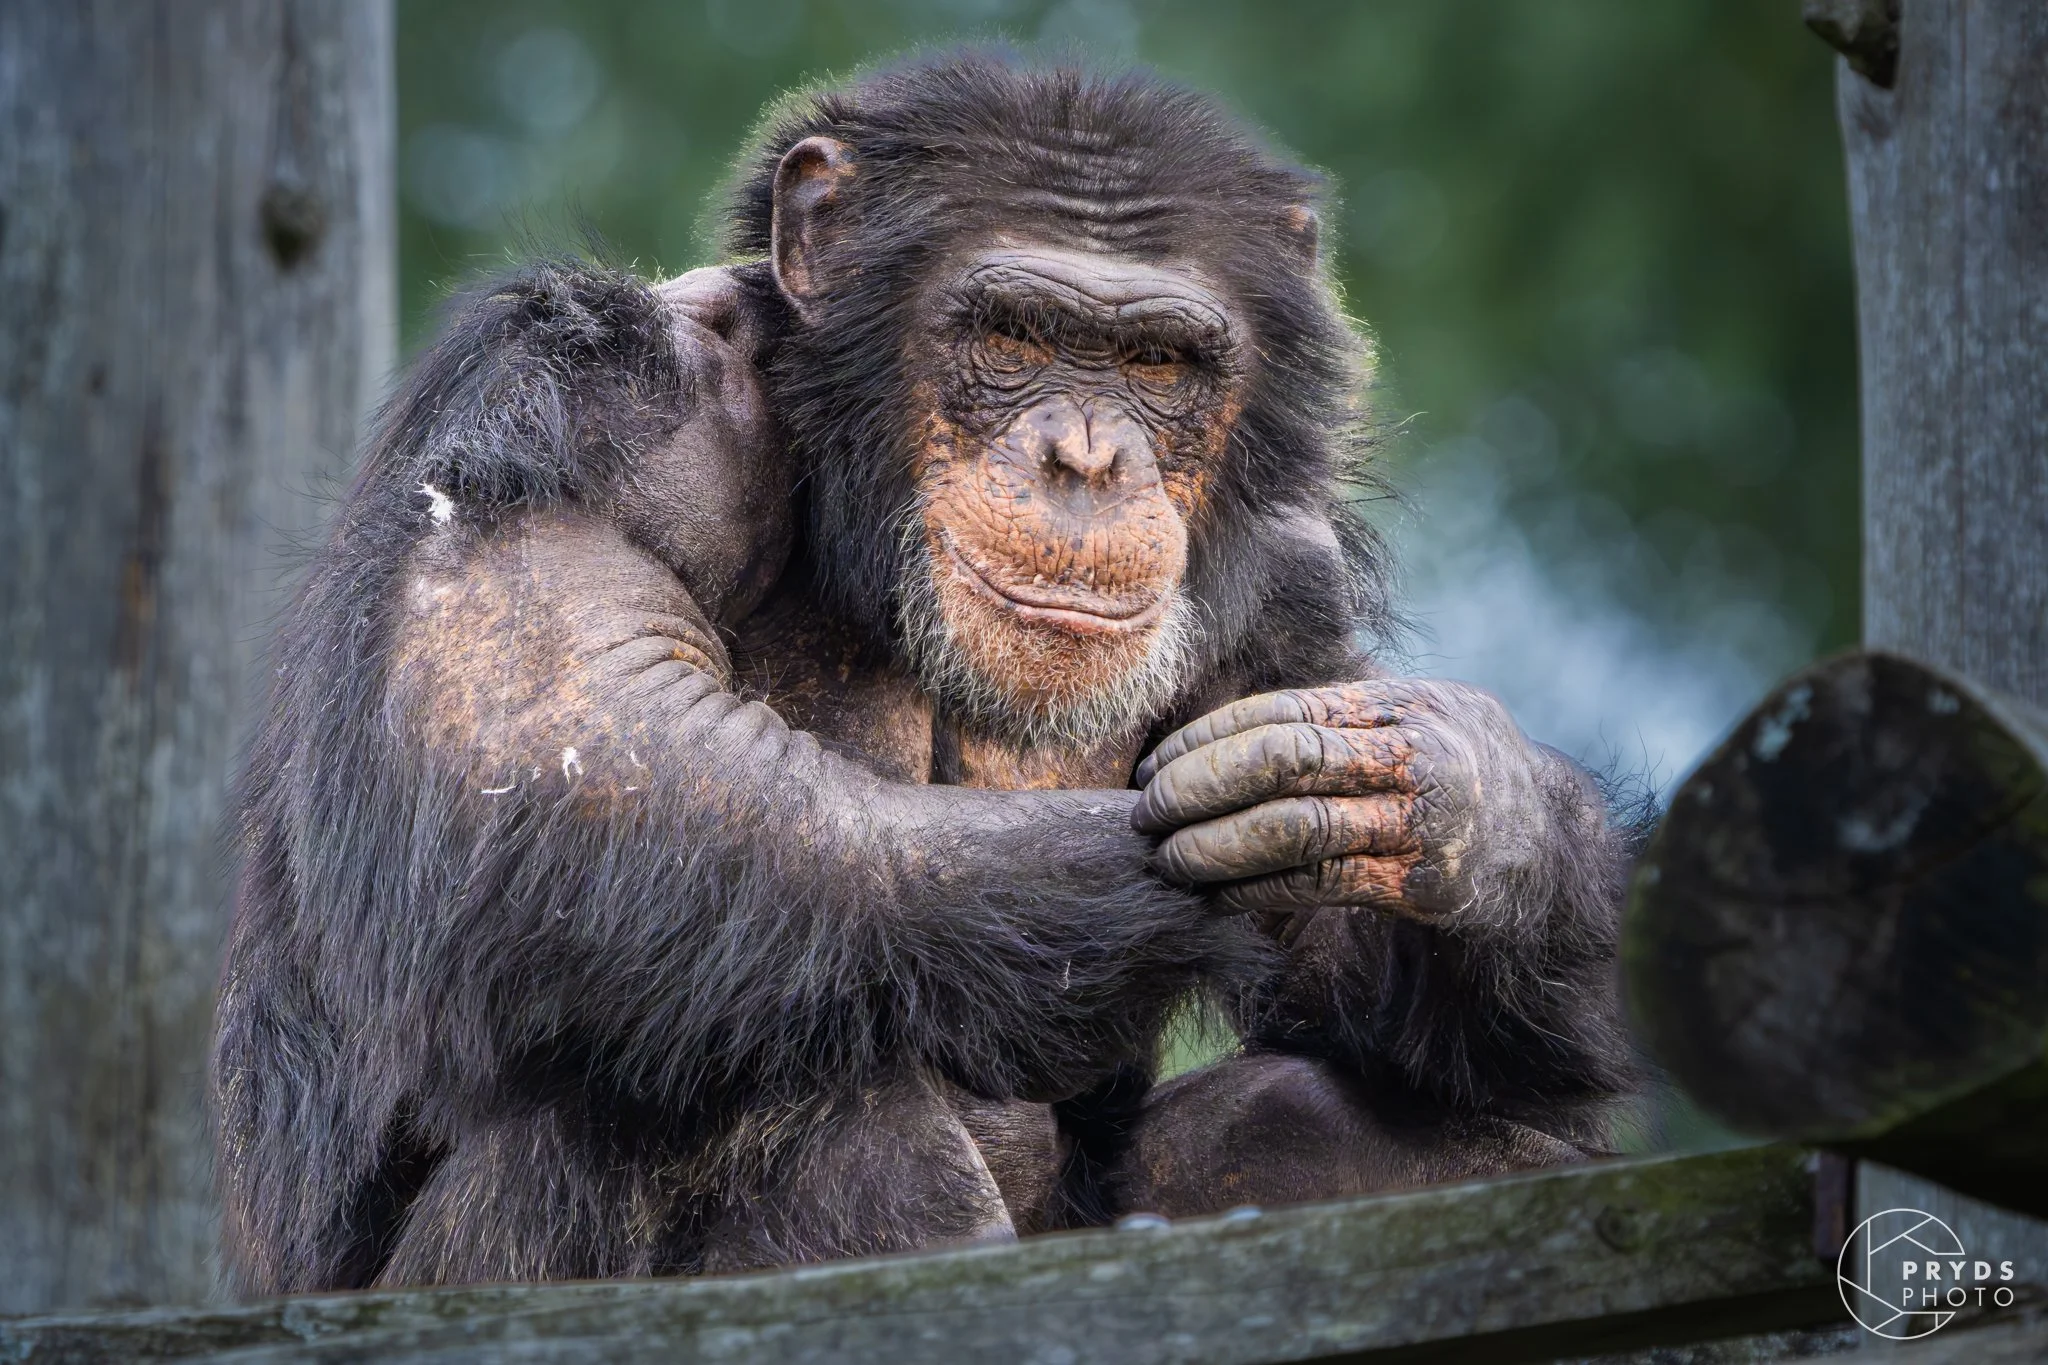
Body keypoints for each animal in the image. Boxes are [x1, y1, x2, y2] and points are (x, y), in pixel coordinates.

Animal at [211, 52, 1638, 1294]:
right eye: (1011, 334)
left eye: (1158, 364)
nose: (1085, 458)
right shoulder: (596, 406)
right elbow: (554, 762)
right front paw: (1148, 871)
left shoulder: (1284, 586)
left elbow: (1372, 978)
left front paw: (1461, 803)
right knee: (765, 1064)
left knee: (1380, 1125)